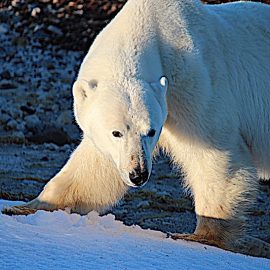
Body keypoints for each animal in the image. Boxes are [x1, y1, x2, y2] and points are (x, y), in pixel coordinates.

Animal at [3, 0, 270, 258]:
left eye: (151, 131)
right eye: (116, 132)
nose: (138, 174)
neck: (151, 27)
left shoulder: (194, 84)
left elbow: (213, 153)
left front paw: (202, 235)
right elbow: (94, 168)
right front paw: (23, 207)